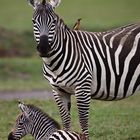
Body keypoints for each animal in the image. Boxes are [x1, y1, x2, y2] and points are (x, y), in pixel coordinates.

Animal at [26, 0, 140, 138]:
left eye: (53, 22)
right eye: (33, 21)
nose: (43, 48)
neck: (54, 63)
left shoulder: (83, 88)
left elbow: (83, 121)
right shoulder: (58, 91)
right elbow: (66, 120)